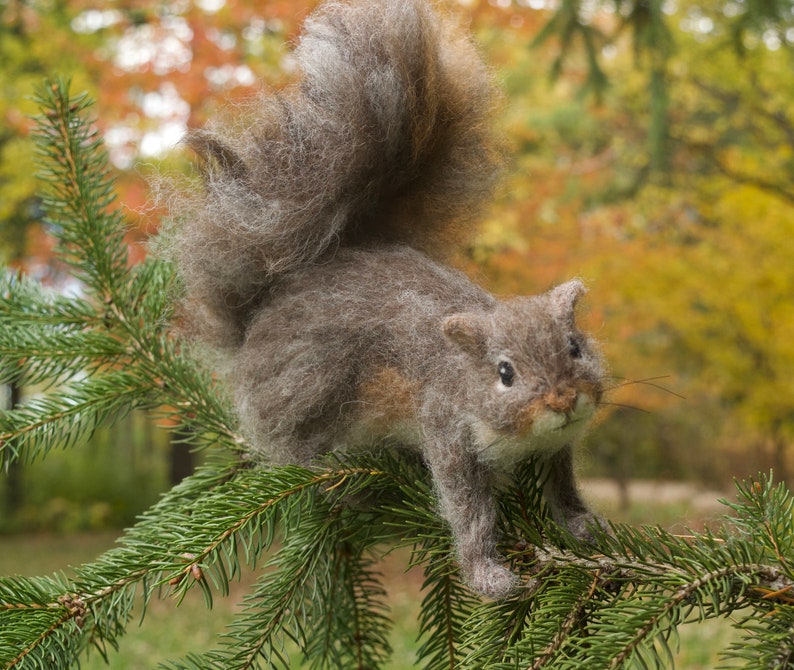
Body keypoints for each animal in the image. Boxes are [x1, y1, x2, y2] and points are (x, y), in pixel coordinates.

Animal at [164, 0, 604, 600]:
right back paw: (345, 488)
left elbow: (563, 486)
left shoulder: (557, 446)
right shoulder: (445, 429)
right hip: (306, 397)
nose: (562, 400)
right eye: (504, 373)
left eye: (576, 347)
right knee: (296, 456)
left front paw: (583, 525)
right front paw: (488, 575)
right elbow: (470, 512)